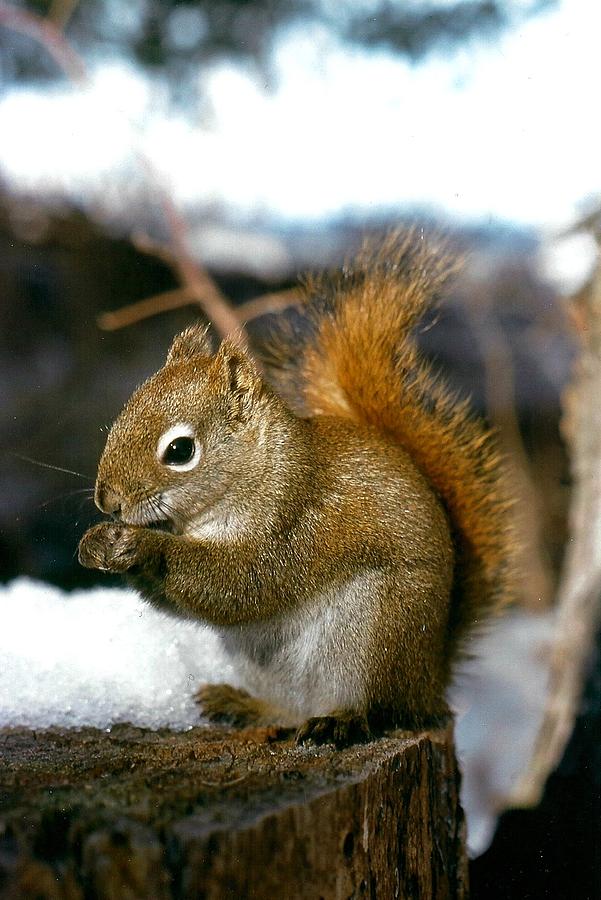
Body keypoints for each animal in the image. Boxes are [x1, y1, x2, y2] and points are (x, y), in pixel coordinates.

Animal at [77, 230, 512, 744]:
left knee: (377, 708)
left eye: (180, 451)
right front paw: (95, 543)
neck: (259, 472)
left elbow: (241, 583)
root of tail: (429, 684)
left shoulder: (293, 524)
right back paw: (245, 705)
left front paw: (144, 547)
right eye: (121, 418)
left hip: (375, 636)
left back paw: (341, 719)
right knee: (289, 709)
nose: (108, 500)